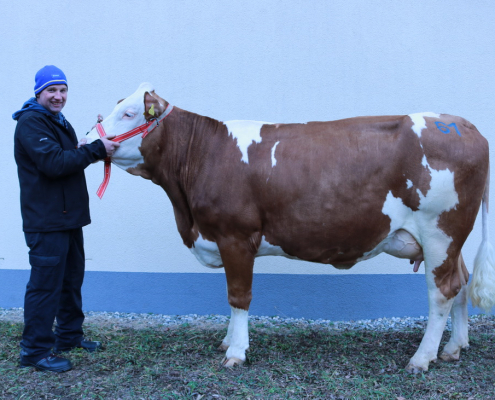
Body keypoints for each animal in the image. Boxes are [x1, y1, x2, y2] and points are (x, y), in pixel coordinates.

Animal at [86, 83, 495, 374]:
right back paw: (454, 348)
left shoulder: (235, 236)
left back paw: (421, 359)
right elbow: (231, 299)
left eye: (129, 112)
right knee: (460, 282)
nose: (91, 139)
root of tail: (464, 125)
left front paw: (236, 352)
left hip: (439, 231)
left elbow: (239, 296)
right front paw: (227, 342)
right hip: (450, 240)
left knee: (441, 291)